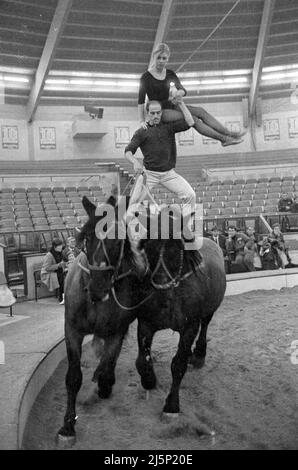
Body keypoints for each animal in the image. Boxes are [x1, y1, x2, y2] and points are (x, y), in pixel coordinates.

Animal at [57, 195, 226, 444]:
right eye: (87, 239)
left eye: (118, 241)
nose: (97, 288)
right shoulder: (79, 330)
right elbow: (76, 376)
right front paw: (68, 427)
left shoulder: (184, 327)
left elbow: (177, 364)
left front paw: (171, 406)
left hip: (208, 311)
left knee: (205, 327)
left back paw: (199, 355)